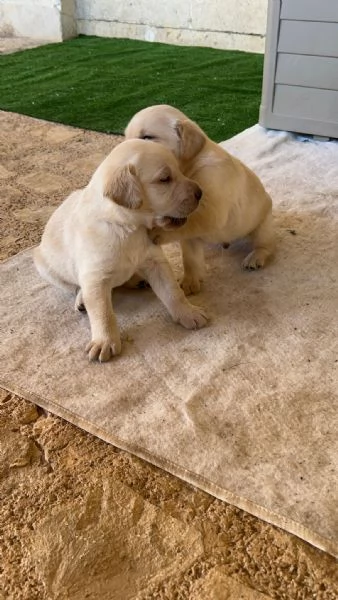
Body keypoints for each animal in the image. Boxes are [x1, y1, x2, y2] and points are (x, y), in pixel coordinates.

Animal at [35, 138, 209, 360]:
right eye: (165, 179)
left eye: (179, 170)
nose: (200, 193)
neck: (128, 227)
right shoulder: (95, 276)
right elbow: (102, 312)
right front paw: (104, 342)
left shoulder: (155, 261)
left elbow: (173, 291)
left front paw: (188, 313)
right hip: (43, 265)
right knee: (75, 287)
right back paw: (81, 299)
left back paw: (137, 280)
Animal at [125, 106, 276, 296]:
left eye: (147, 137)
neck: (188, 167)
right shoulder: (190, 236)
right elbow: (190, 257)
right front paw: (190, 282)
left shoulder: (212, 207)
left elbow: (189, 222)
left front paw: (159, 232)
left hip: (263, 224)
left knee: (266, 244)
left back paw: (256, 257)